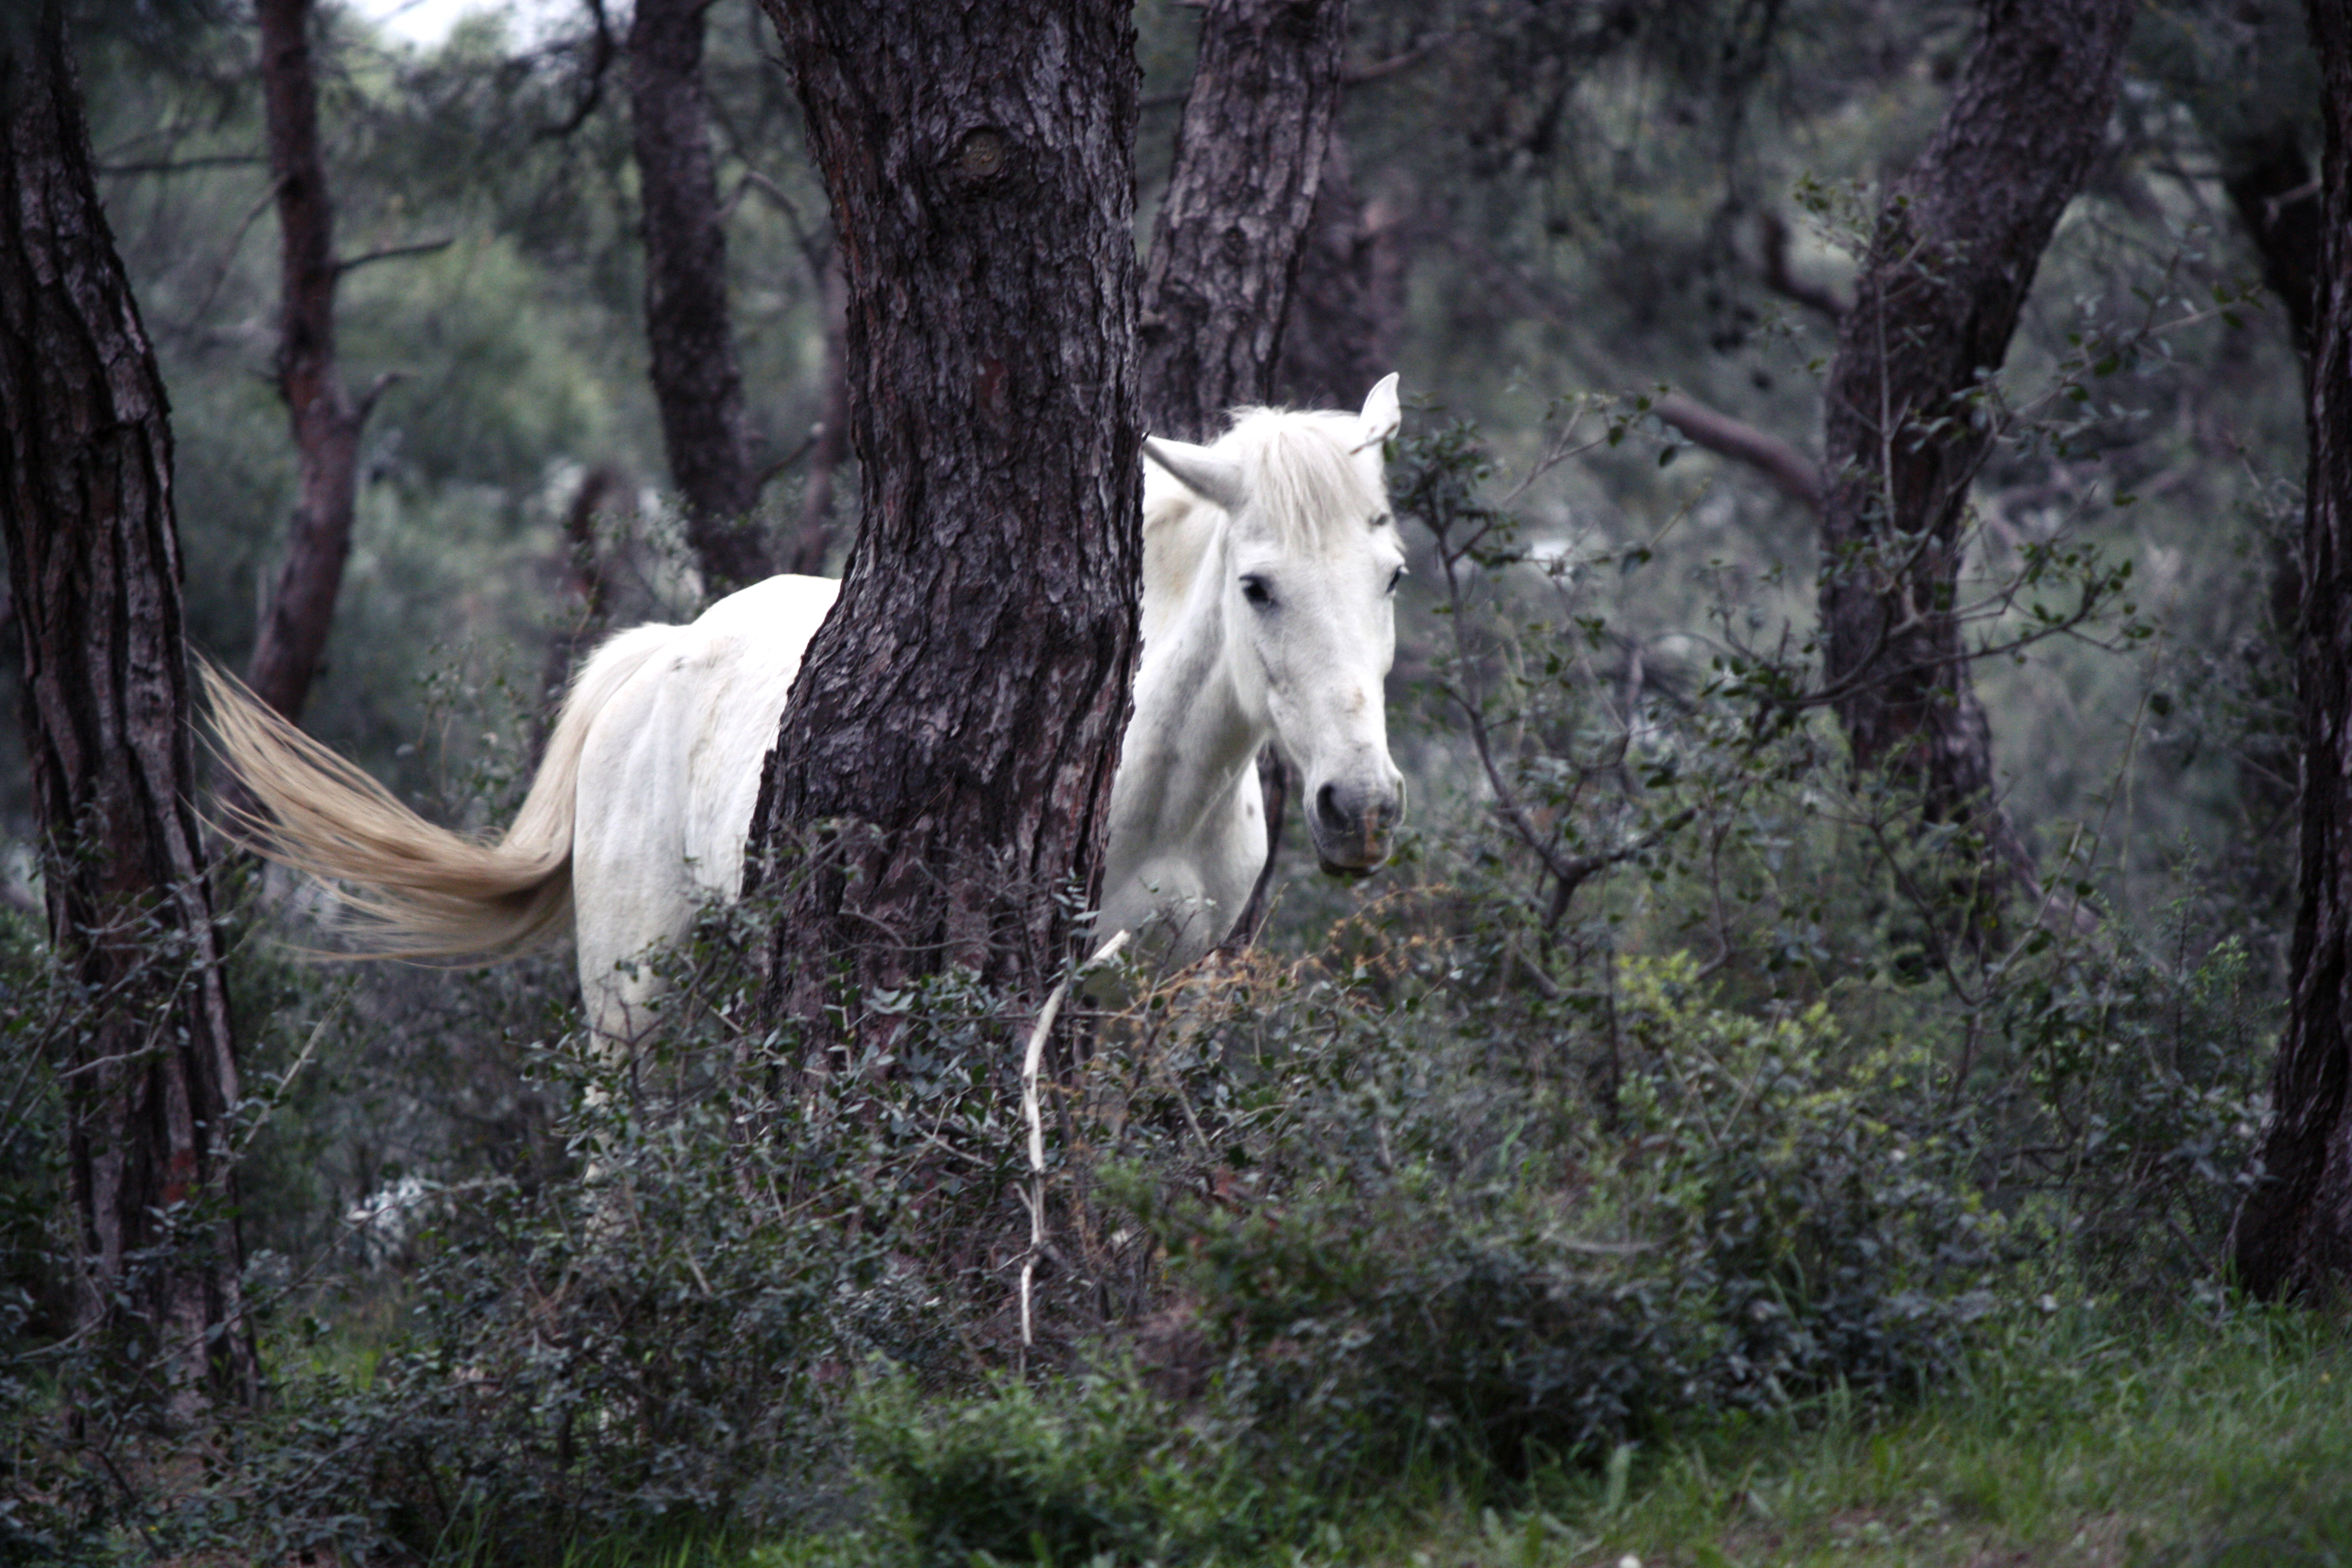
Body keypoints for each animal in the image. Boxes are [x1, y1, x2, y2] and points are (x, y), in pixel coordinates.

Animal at [206, 375, 1409, 1044]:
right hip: (633, 996)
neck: (1155, 790)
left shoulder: (1166, 994)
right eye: (1257, 586)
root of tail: (659, 655)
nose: (1363, 807)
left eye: (1391, 574)